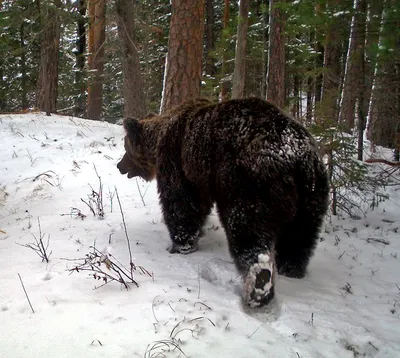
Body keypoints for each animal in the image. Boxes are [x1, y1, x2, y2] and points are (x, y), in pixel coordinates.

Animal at [117, 98, 330, 308]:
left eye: (126, 148)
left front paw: (180, 245)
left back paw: (258, 287)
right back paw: (291, 269)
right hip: (311, 194)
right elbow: (199, 206)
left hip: (250, 183)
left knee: (248, 232)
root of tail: (296, 156)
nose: (119, 166)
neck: (158, 139)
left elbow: (180, 204)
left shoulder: (178, 161)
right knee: (299, 237)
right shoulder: (200, 176)